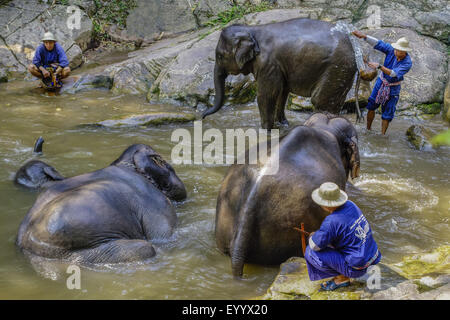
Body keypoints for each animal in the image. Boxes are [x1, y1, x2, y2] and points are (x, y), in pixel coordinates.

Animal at [15, 144, 187, 264]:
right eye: (167, 164)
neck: (126, 163)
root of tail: (27, 245)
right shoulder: (155, 201)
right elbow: (161, 235)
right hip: (91, 253)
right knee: (146, 248)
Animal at [201, 17, 358, 129]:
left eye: (220, 56)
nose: (202, 116)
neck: (251, 29)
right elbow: (282, 92)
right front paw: (282, 124)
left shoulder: (268, 63)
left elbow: (266, 94)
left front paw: (265, 129)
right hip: (342, 72)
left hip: (336, 68)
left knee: (320, 101)